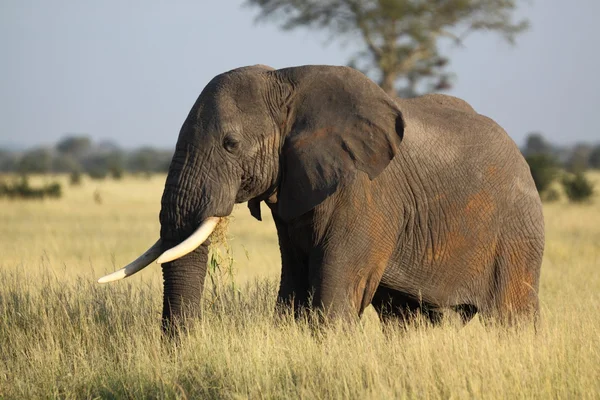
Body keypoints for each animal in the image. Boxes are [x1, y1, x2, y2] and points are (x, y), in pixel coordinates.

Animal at [97, 63, 544, 332]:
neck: (286, 81)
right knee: (409, 317)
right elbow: (294, 286)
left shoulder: (365, 191)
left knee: (512, 316)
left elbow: (334, 290)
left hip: (517, 233)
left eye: (230, 144)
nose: (183, 345)